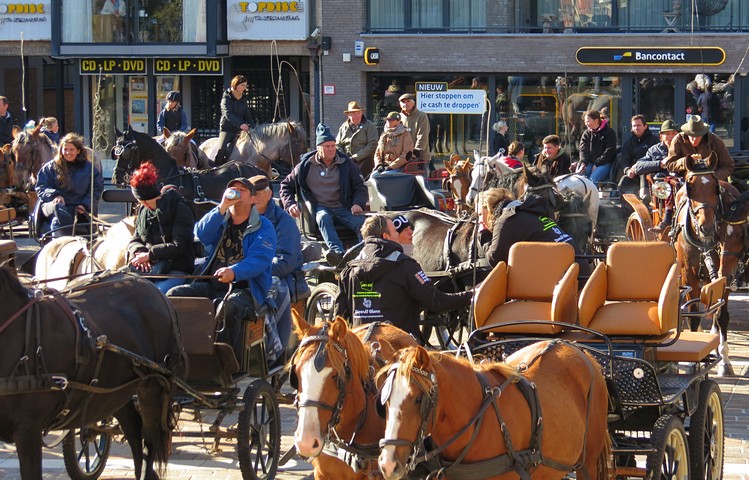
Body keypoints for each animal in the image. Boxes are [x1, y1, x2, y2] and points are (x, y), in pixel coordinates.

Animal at [0, 268, 184, 480]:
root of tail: (150, 286)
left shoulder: (29, 430)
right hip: (113, 392)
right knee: (134, 431)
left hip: (154, 387)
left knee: (150, 438)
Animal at [668, 154, 744, 376]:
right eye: (690, 186)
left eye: (714, 187)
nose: (707, 227)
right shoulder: (688, 274)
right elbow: (693, 315)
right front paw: (691, 362)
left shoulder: (725, 272)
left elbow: (721, 315)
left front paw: (724, 361)